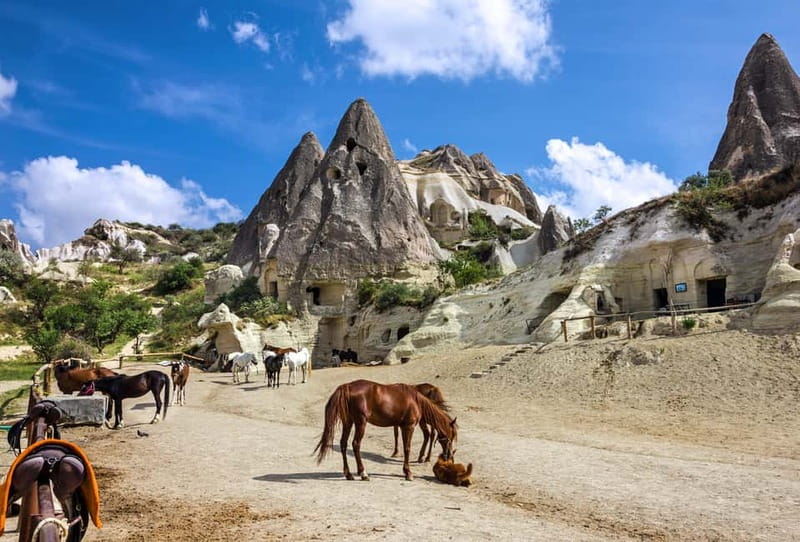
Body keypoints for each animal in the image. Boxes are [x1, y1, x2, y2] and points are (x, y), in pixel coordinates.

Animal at [314, 379, 457, 481]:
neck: (415, 400)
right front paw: (408, 473)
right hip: (360, 423)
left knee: (343, 444)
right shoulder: (408, 427)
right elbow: (407, 448)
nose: (449, 457)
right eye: (451, 438)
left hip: (348, 423)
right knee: (355, 444)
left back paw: (349, 474)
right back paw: (363, 473)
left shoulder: (401, 426)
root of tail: (347, 387)